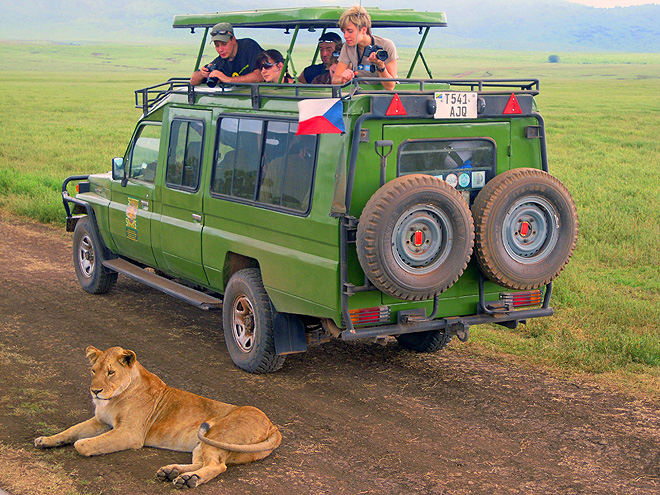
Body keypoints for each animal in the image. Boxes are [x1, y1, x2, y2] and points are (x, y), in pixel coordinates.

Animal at [34, 346, 282, 490]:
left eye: (111, 372)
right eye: (93, 370)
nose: (95, 391)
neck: (114, 397)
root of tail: (273, 425)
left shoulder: (130, 434)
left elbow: (82, 444)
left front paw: (84, 444)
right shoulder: (100, 421)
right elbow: (71, 430)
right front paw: (46, 440)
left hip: (217, 435)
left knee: (217, 466)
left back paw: (190, 480)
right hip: (203, 443)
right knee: (202, 461)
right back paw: (173, 472)